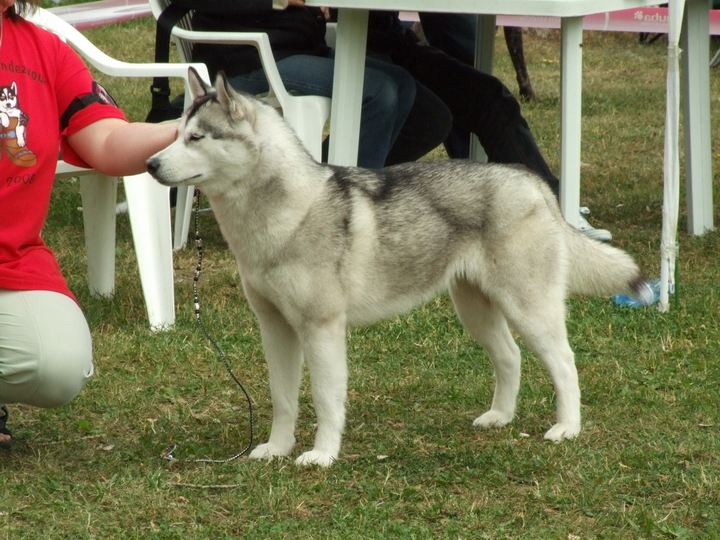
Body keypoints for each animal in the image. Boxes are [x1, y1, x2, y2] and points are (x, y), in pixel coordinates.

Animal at [146, 68, 652, 468]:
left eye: (196, 138)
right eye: (175, 134)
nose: (149, 164)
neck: (285, 214)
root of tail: (528, 179)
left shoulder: (321, 329)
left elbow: (325, 399)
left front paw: (322, 455)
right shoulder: (276, 329)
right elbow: (282, 398)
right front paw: (277, 449)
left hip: (529, 309)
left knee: (565, 363)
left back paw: (568, 427)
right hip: (476, 310)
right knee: (510, 357)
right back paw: (500, 418)